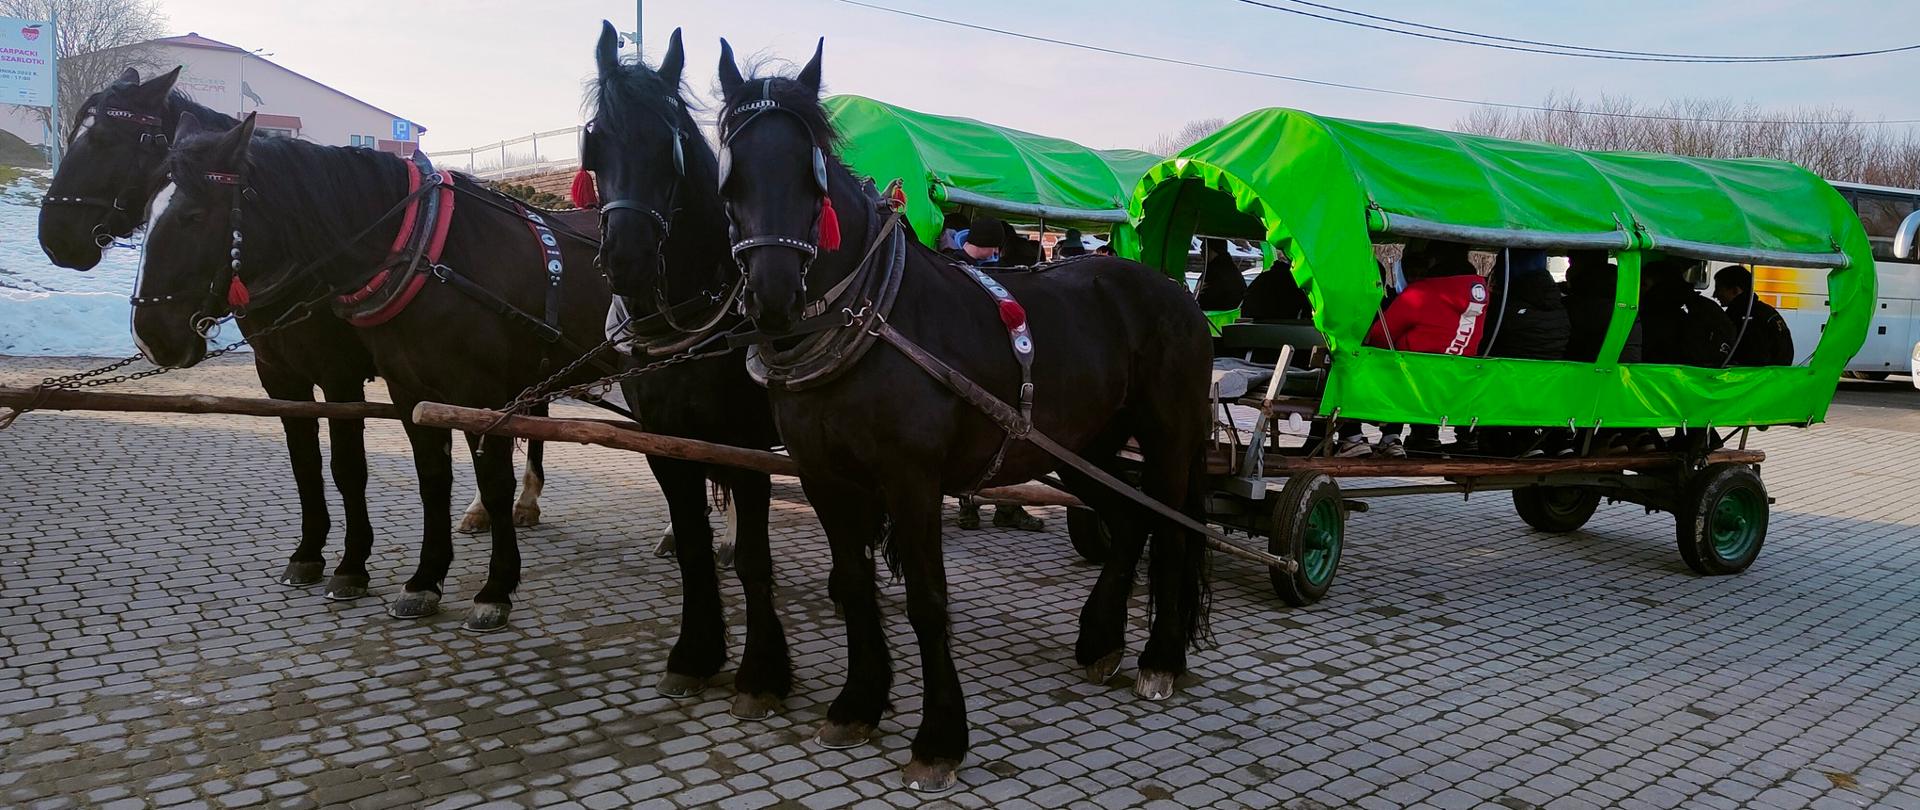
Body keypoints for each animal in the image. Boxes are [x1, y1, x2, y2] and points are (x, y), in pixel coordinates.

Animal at [37, 68, 549, 602]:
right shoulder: (281, 376)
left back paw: (522, 501)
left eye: (103, 140)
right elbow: (305, 462)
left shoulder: (340, 376)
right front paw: (309, 553)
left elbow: (348, 466)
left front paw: (352, 563)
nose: (54, 238)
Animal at [131, 110, 606, 629]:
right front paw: (418, 578)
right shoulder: (373, 386)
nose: (150, 335)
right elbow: (415, 477)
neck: (424, 256)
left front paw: (491, 588)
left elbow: (372, 469)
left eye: (193, 217)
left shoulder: (443, 387)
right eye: (145, 215)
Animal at [587, 23, 791, 714]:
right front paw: (695, 652)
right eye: (596, 142)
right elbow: (693, 544)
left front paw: (762, 670)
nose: (625, 259)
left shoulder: (748, 443)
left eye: (669, 146)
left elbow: (755, 556)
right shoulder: (665, 440)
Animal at [714, 39, 1205, 790]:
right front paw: (858, 702)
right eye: (729, 177)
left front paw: (939, 737)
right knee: (1127, 521)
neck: (874, 321)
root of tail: (1175, 291)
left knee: (1171, 530)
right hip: (1079, 446)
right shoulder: (824, 475)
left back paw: (1161, 660)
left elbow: (926, 600)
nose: (771, 296)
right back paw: (1101, 641)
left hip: (1169, 435)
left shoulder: (911, 481)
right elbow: (854, 582)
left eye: (812, 176)